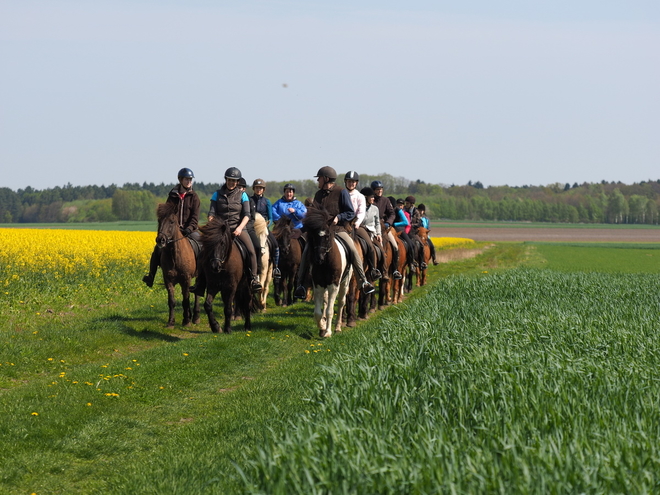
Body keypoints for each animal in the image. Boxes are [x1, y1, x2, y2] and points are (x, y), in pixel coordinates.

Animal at [156, 202, 200, 330]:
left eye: (171, 222)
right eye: (159, 220)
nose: (160, 240)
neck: (174, 254)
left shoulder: (186, 279)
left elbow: (185, 300)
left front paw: (186, 321)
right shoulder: (168, 280)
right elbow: (172, 301)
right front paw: (171, 322)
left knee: (196, 294)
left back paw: (195, 317)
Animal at [304, 207, 354, 340]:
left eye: (327, 236)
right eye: (313, 237)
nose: (319, 259)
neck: (326, 263)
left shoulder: (333, 285)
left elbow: (330, 310)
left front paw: (327, 332)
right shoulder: (318, 285)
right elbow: (317, 312)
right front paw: (322, 327)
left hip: (345, 283)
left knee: (341, 302)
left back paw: (337, 327)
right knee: (326, 302)